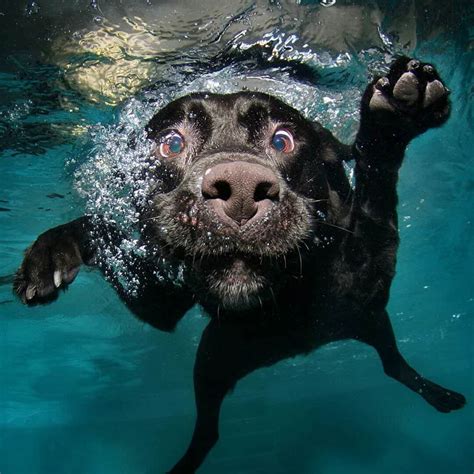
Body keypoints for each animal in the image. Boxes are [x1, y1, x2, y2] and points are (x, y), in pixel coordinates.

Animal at [14, 57, 466, 472]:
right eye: (171, 144)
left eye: (282, 141)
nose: (242, 190)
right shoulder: (159, 301)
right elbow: (101, 228)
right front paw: (51, 252)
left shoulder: (365, 272)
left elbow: (374, 192)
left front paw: (393, 115)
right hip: (212, 363)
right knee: (209, 432)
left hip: (368, 321)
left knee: (392, 365)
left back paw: (440, 395)